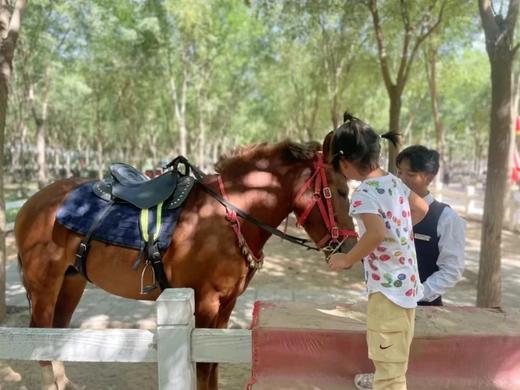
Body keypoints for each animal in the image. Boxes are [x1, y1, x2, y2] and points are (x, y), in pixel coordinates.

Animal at [15, 136, 358, 388]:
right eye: (341, 190)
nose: (351, 244)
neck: (227, 217)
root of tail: (31, 203)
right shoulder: (206, 302)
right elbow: (204, 367)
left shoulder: (227, 305)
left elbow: (213, 365)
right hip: (45, 284)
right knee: (39, 339)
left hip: (71, 281)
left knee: (55, 334)